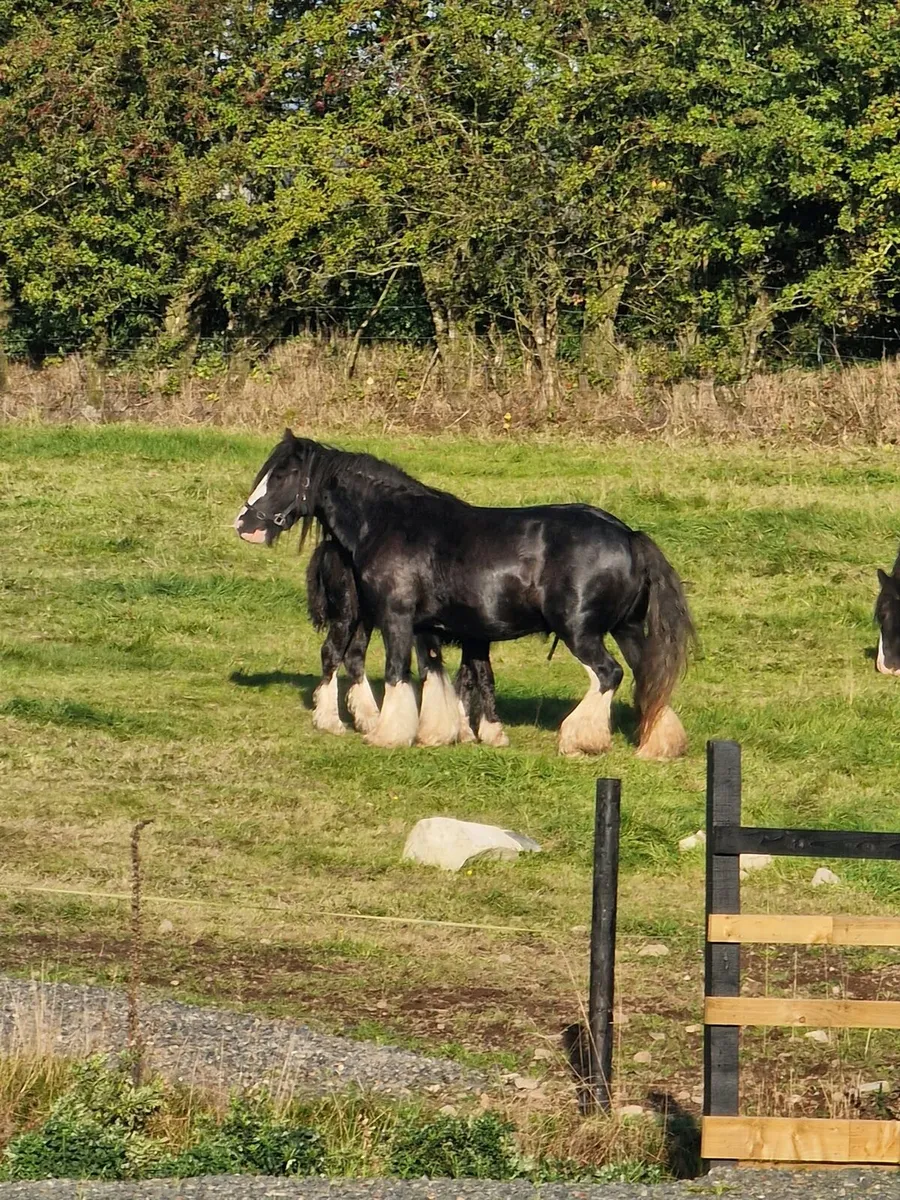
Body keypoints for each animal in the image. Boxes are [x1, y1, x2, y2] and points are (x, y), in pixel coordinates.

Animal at [234, 430, 695, 759]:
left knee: (608, 675)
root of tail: (629, 536)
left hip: (580, 633)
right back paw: (657, 744)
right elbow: (439, 675)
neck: (389, 521)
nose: (245, 525)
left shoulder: (397, 618)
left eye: (282, 476)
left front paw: (389, 735)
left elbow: (399, 674)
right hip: (627, 629)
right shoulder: (429, 627)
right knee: (647, 676)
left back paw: (579, 739)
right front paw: (442, 733)